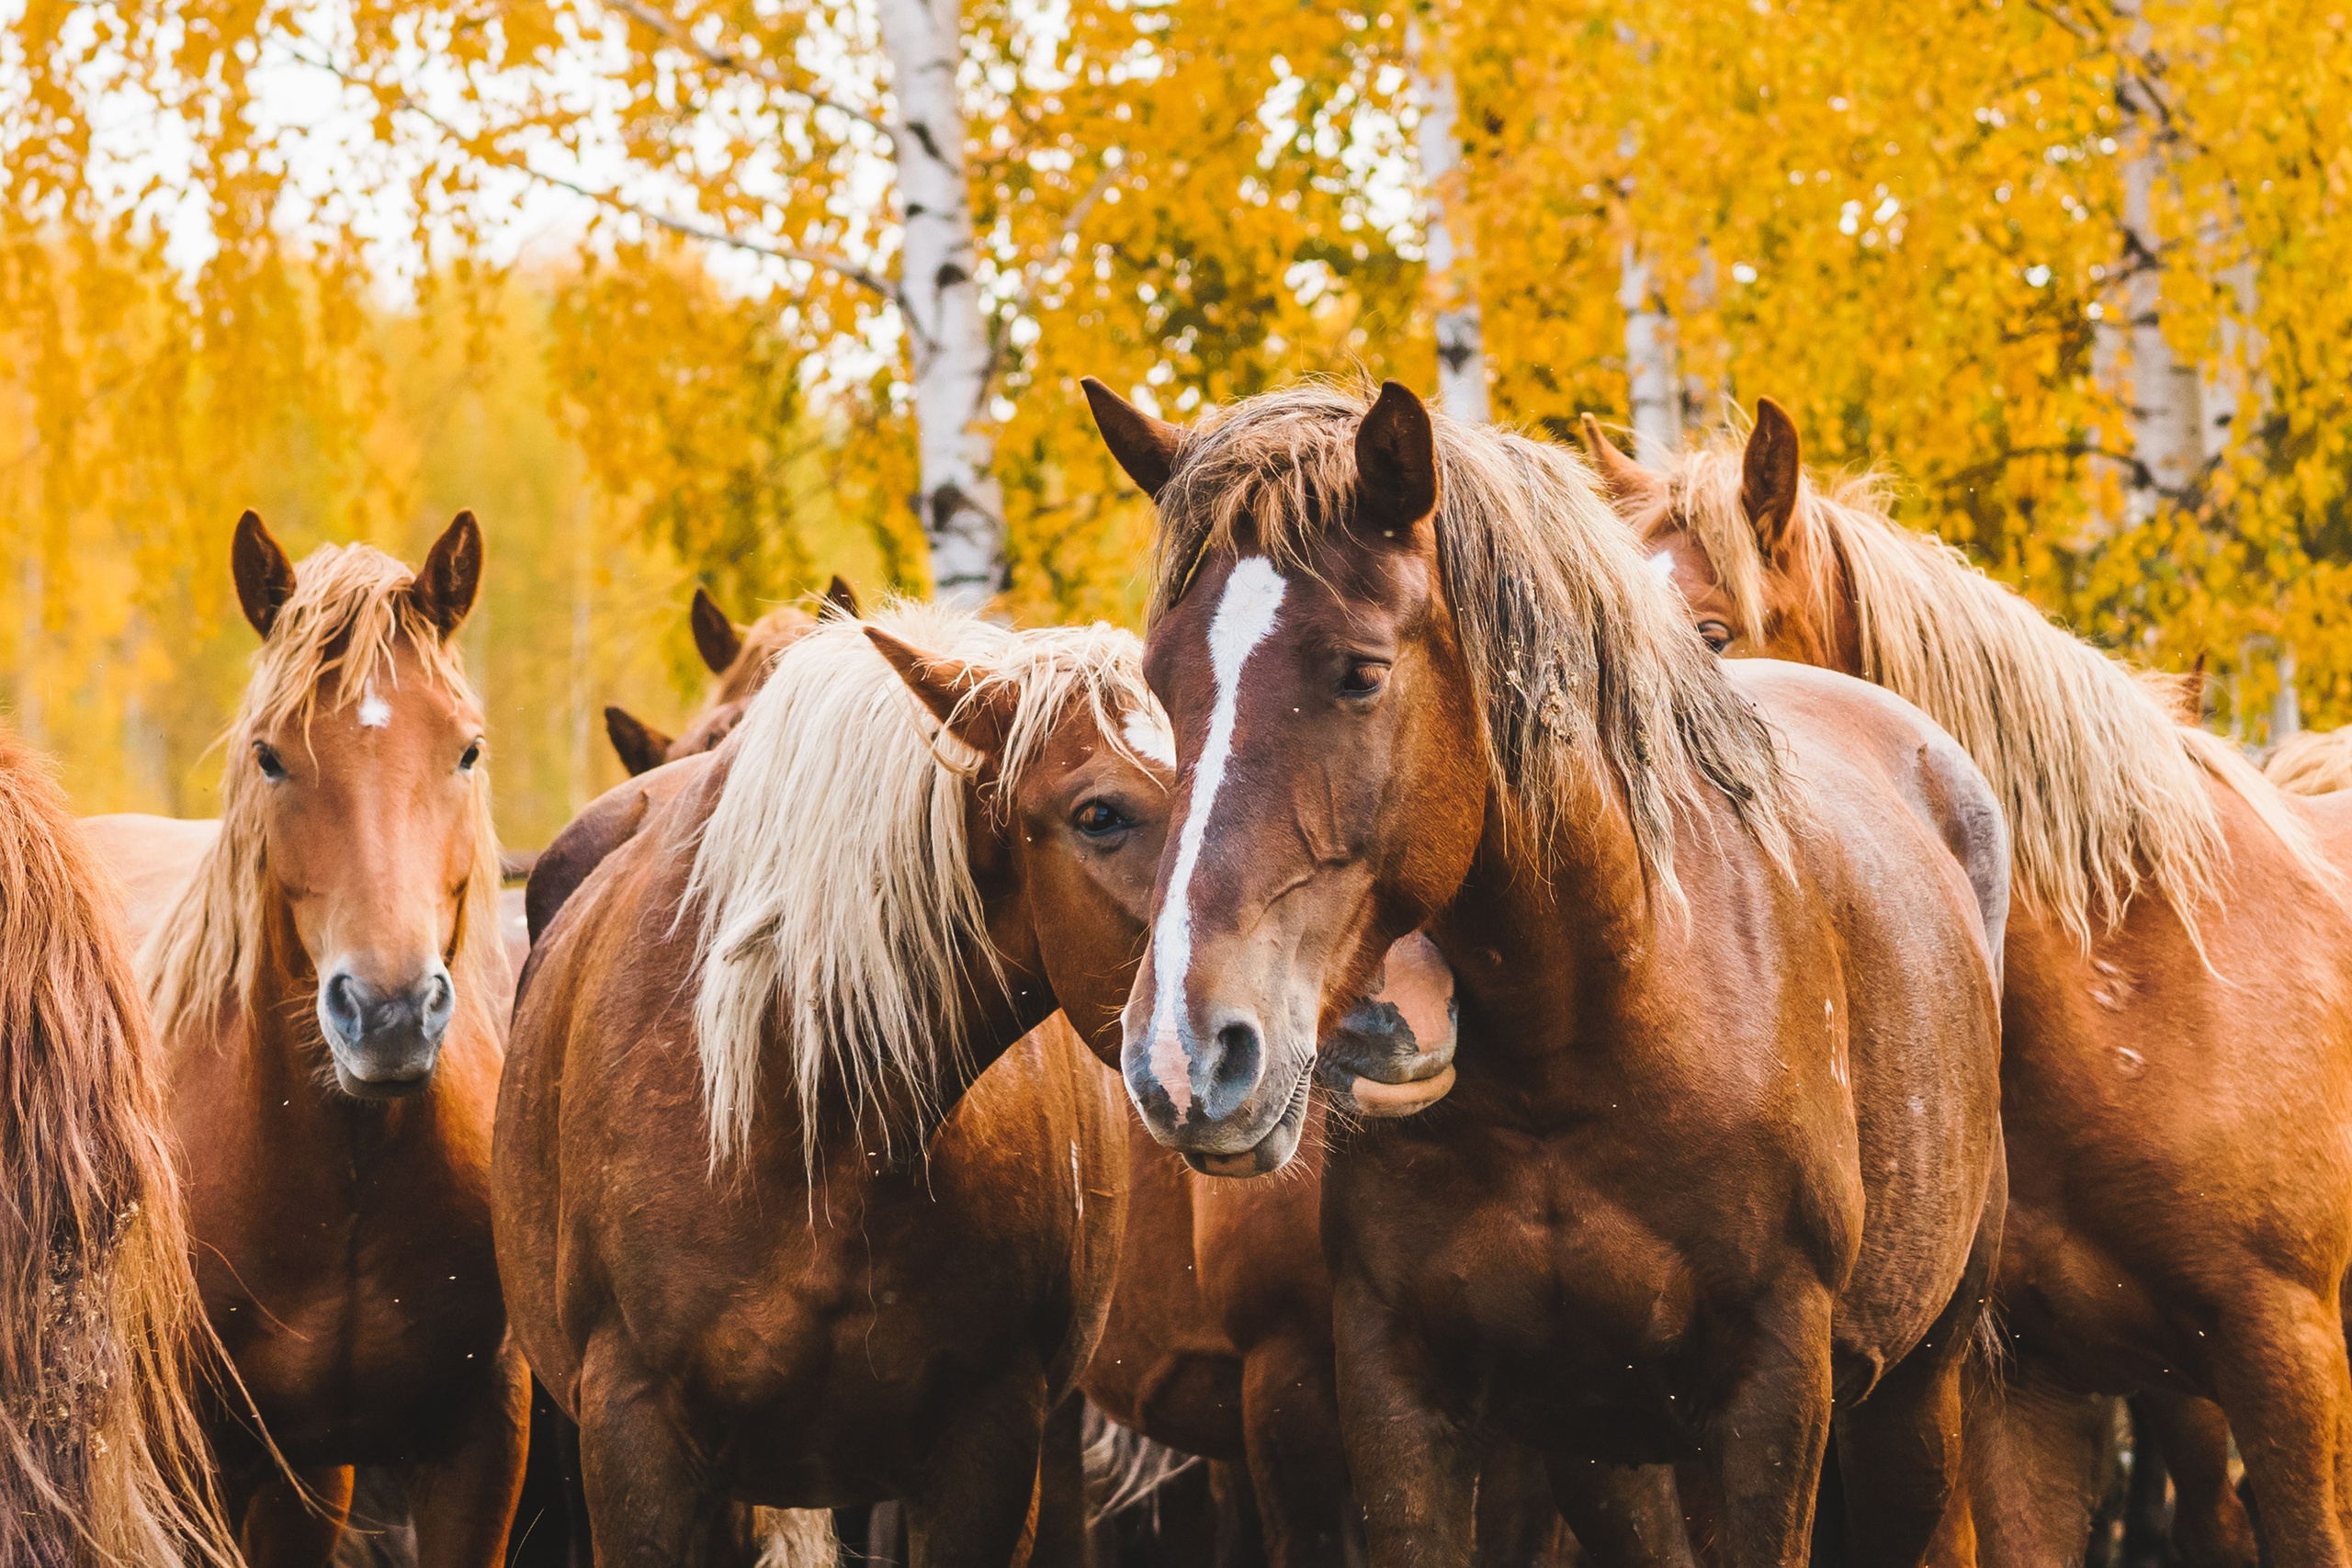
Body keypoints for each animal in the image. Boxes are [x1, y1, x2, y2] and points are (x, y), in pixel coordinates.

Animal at [1085, 376, 2011, 1566]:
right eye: (1162, 684)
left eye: (1359, 673)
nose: (1185, 1055)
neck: (1586, 1025)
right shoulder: (1403, 1396)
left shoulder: (1773, 1393)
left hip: (1912, 1394)